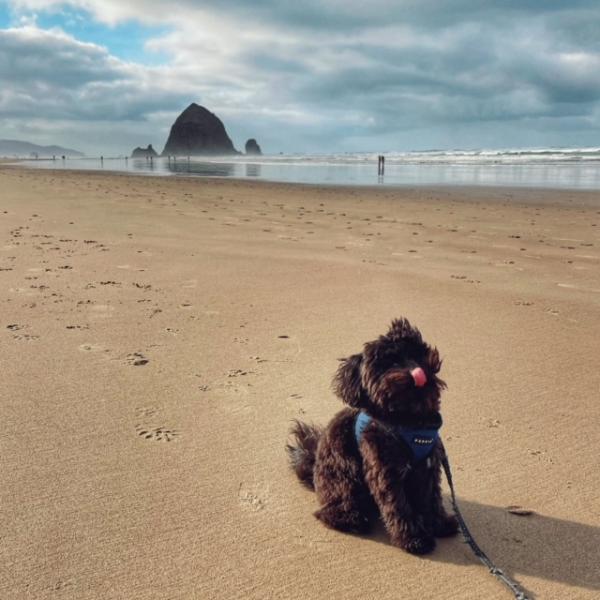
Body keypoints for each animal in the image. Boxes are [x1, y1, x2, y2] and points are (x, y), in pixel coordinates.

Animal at [288, 316, 458, 556]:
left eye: (416, 354)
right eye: (390, 363)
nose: (417, 371)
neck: (409, 419)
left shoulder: (428, 467)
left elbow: (431, 499)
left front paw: (439, 525)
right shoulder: (386, 471)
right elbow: (398, 506)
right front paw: (414, 539)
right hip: (344, 476)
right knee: (331, 509)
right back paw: (352, 519)